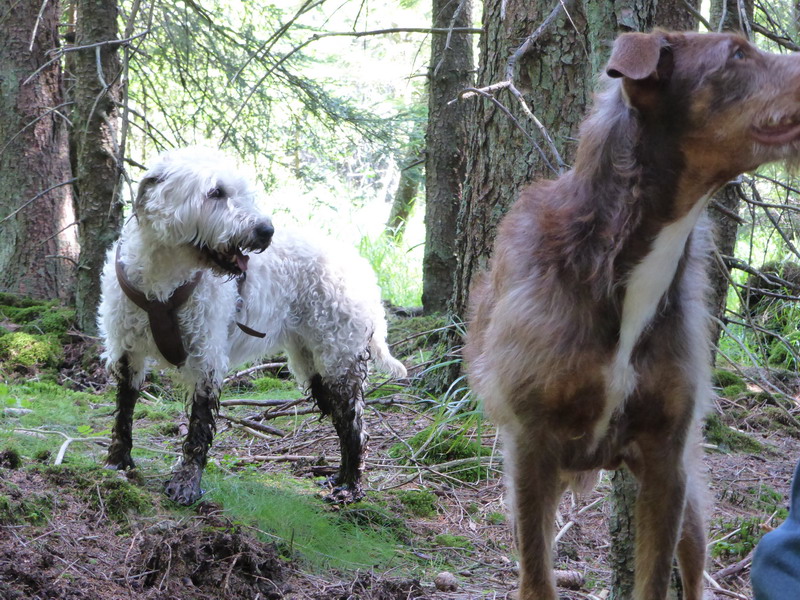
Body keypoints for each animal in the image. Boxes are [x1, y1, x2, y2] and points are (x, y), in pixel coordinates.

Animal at [98, 147, 406, 505]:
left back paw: (351, 488)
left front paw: (186, 483)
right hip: (314, 365)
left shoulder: (206, 359)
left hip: (339, 359)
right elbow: (124, 412)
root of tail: (363, 269)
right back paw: (340, 479)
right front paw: (118, 461)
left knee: (355, 426)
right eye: (216, 192)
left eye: (244, 192)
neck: (164, 278)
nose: (266, 231)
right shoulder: (127, 351)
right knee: (344, 423)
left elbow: (198, 428)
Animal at [464, 32, 800, 600]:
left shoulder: (666, 464)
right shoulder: (530, 451)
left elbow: (654, 580)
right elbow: (537, 578)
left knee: (694, 569)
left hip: (691, 498)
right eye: (736, 53)